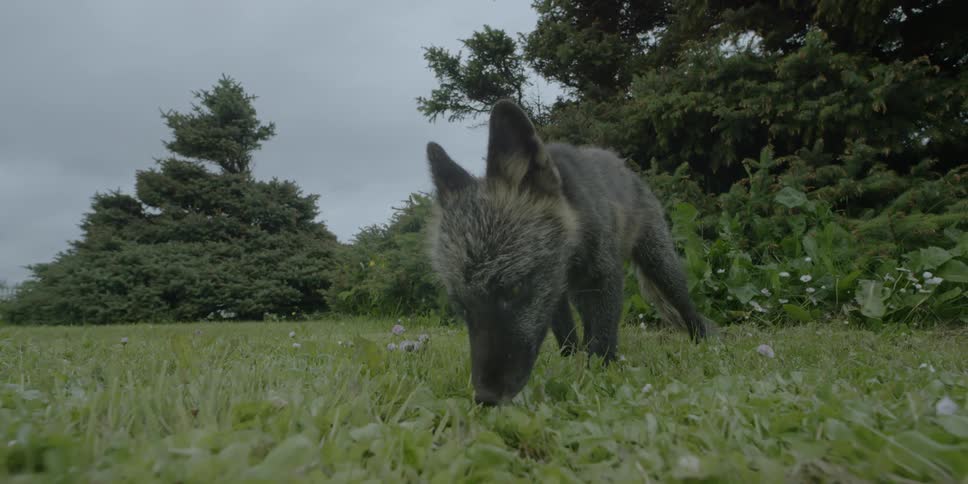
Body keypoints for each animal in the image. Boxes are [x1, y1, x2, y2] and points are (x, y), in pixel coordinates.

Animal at [425, 99, 716, 406]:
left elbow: (602, 341)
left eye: (514, 289)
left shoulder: (604, 277)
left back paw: (703, 341)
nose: (485, 398)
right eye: (461, 306)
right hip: (580, 293)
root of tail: (623, 166)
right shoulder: (556, 291)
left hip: (661, 267)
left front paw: (598, 379)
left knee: (687, 308)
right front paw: (570, 366)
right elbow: (568, 338)